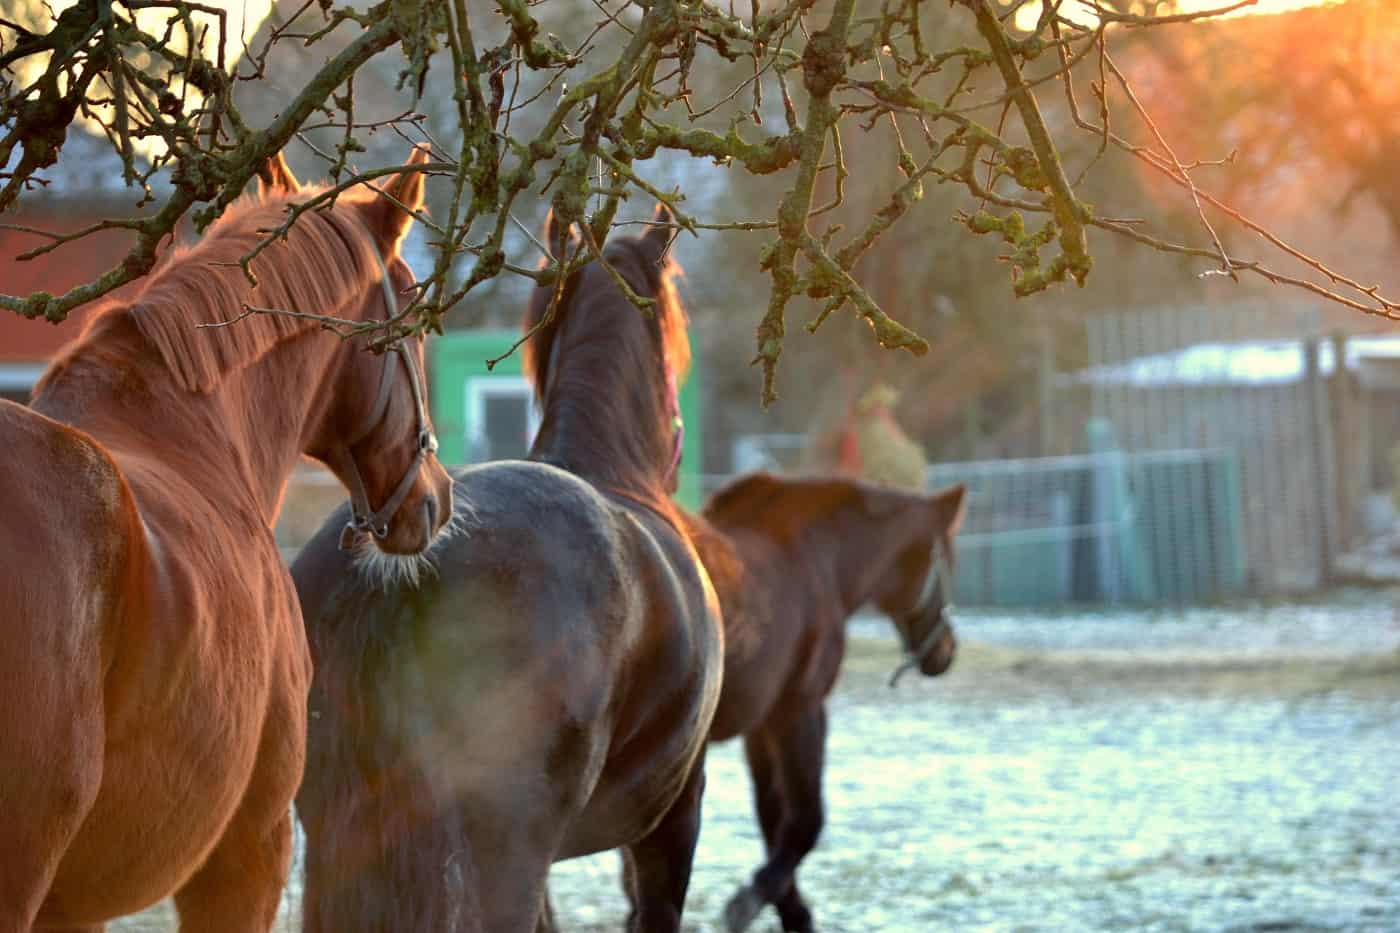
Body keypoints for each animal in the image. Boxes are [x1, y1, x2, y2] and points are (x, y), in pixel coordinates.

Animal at [679, 472, 965, 933]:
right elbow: (806, 820)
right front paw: (753, 903)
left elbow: (772, 818)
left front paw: (789, 908)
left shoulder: (762, 726)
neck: (810, 561)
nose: (945, 652)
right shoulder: (800, 710)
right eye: (949, 560)